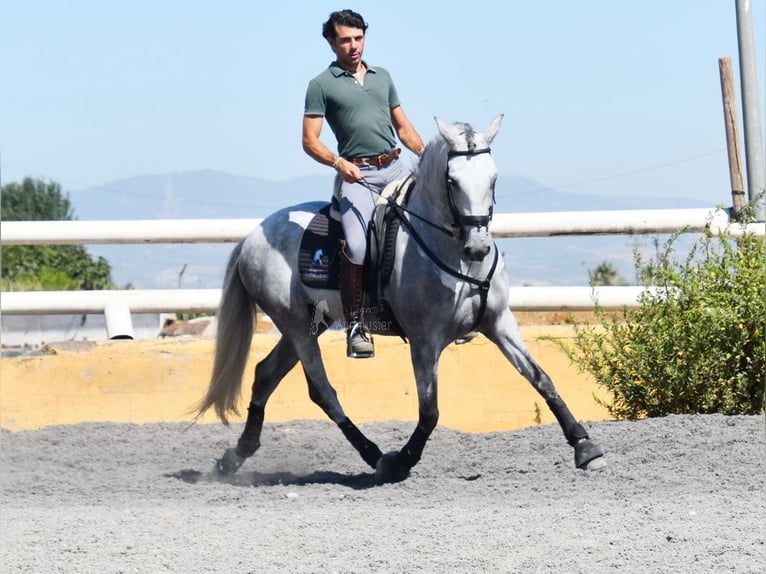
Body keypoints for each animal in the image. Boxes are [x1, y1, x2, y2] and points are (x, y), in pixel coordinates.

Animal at [196, 117, 608, 486]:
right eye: (452, 181)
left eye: (494, 178)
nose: (478, 247)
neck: (452, 251)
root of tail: (252, 236)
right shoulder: (424, 341)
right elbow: (430, 411)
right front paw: (402, 460)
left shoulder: (500, 324)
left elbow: (542, 379)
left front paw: (585, 447)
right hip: (297, 327)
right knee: (323, 392)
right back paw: (376, 457)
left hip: (308, 325)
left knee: (265, 374)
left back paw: (235, 457)